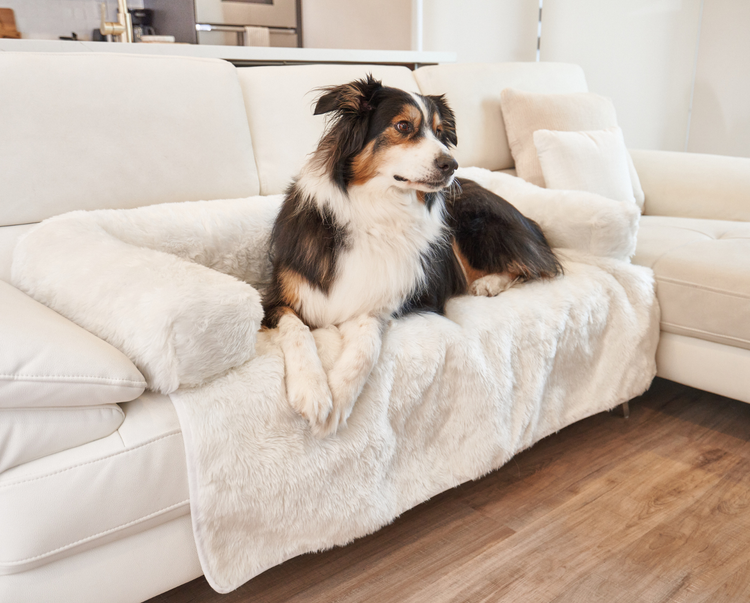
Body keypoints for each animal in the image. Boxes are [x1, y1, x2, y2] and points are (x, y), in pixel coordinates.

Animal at [262, 76, 560, 438]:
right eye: (403, 126)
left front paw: (341, 394)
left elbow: (366, 346)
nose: (451, 165)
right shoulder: (276, 301)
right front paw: (314, 392)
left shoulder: (380, 302)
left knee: (532, 266)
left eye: (440, 131)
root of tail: (526, 220)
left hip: (469, 223)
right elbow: (298, 331)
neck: (378, 211)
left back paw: (490, 283)